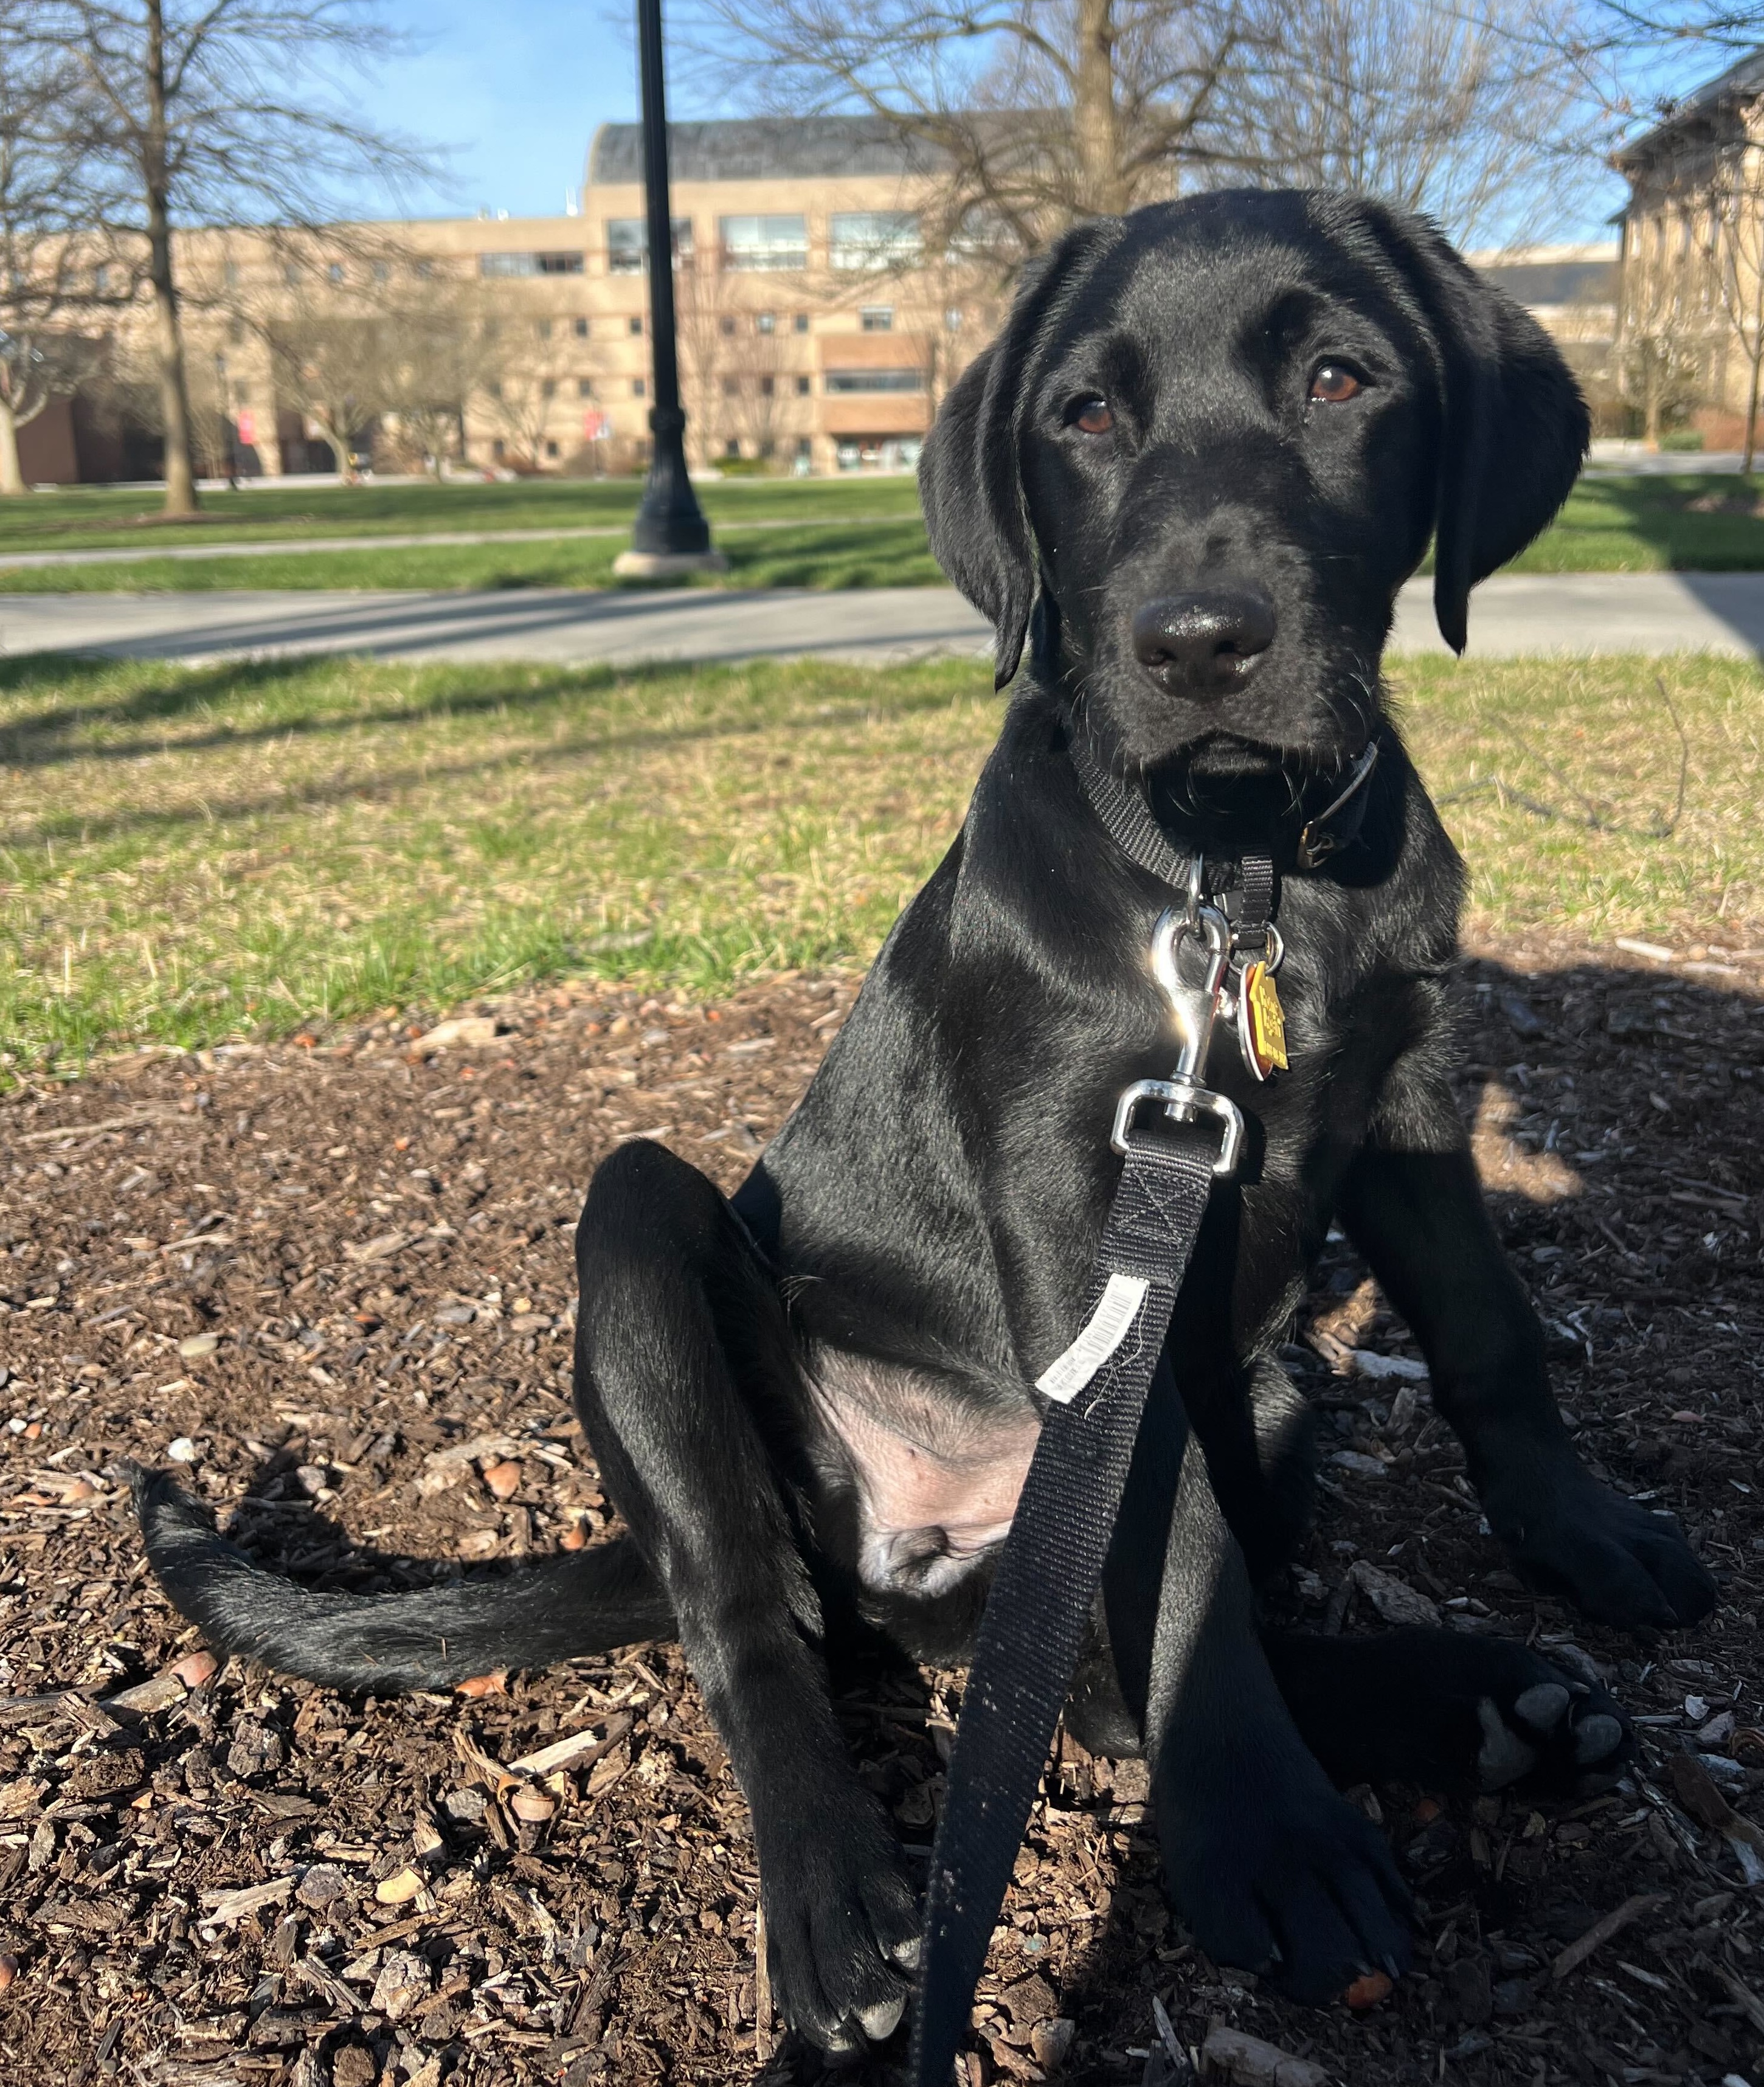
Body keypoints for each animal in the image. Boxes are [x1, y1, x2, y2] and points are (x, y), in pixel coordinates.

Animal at [137, 187, 1720, 2061]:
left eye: (1342, 379)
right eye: (1084, 417)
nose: (1196, 642)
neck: (1240, 879)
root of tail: (901, 1540)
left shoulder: (1405, 1087)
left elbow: (1484, 1331)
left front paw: (1579, 1529)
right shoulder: (1067, 1185)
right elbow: (1175, 1537)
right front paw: (1266, 1830)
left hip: (1261, 1383)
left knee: (1091, 1677)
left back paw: (1470, 1709)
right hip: (649, 1238)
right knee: (753, 1609)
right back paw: (835, 1893)